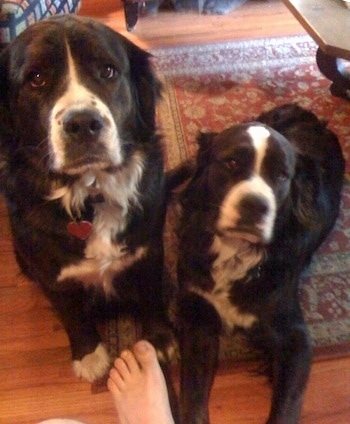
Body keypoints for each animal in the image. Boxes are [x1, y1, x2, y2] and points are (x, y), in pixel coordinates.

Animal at [176, 103, 346, 424]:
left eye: (280, 175)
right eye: (231, 162)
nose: (255, 205)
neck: (236, 254)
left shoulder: (296, 339)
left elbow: (286, 409)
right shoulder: (197, 319)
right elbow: (192, 401)